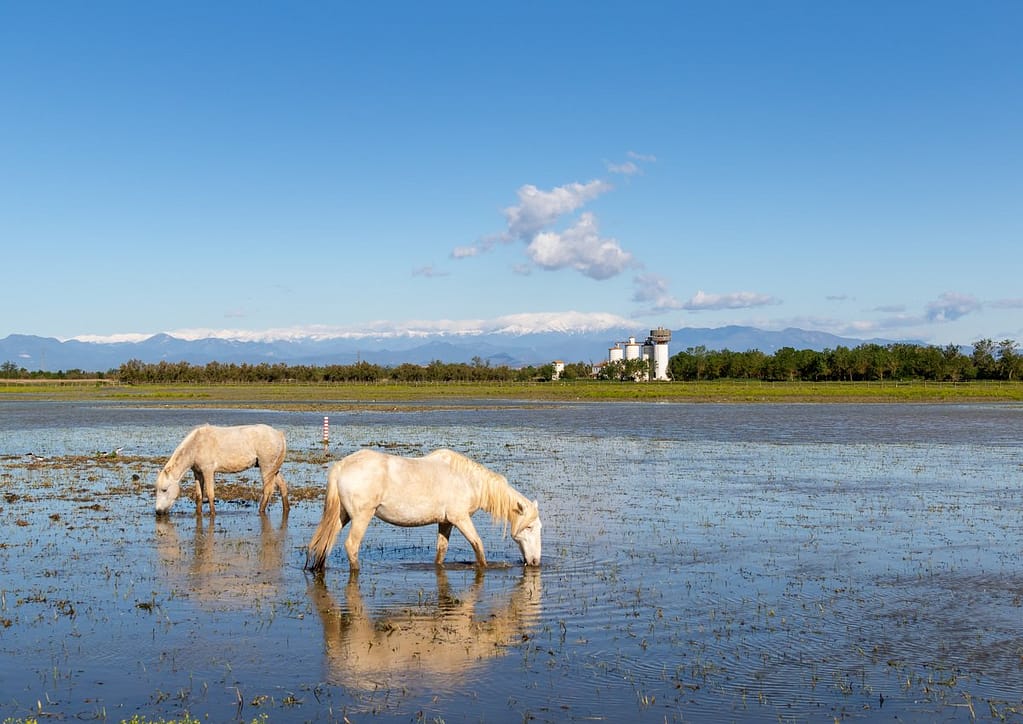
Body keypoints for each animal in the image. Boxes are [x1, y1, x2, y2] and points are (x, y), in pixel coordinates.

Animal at [154, 423, 289, 516]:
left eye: (164, 490)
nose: (158, 511)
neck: (196, 445)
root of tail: (279, 434)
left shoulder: (208, 472)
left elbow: (210, 494)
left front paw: (212, 514)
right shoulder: (198, 474)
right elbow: (199, 496)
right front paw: (198, 513)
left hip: (266, 468)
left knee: (267, 490)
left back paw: (260, 510)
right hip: (274, 470)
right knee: (283, 487)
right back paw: (286, 508)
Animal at [305, 448, 542, 571]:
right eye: (529, 527)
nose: (535, 562)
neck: (468, 480)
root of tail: (341, 466)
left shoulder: (445, 522)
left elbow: (441, 551)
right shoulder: (460, 518)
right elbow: (478, 545)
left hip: (341, 516)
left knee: (325, 544)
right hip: (362, 517)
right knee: (351, 546)